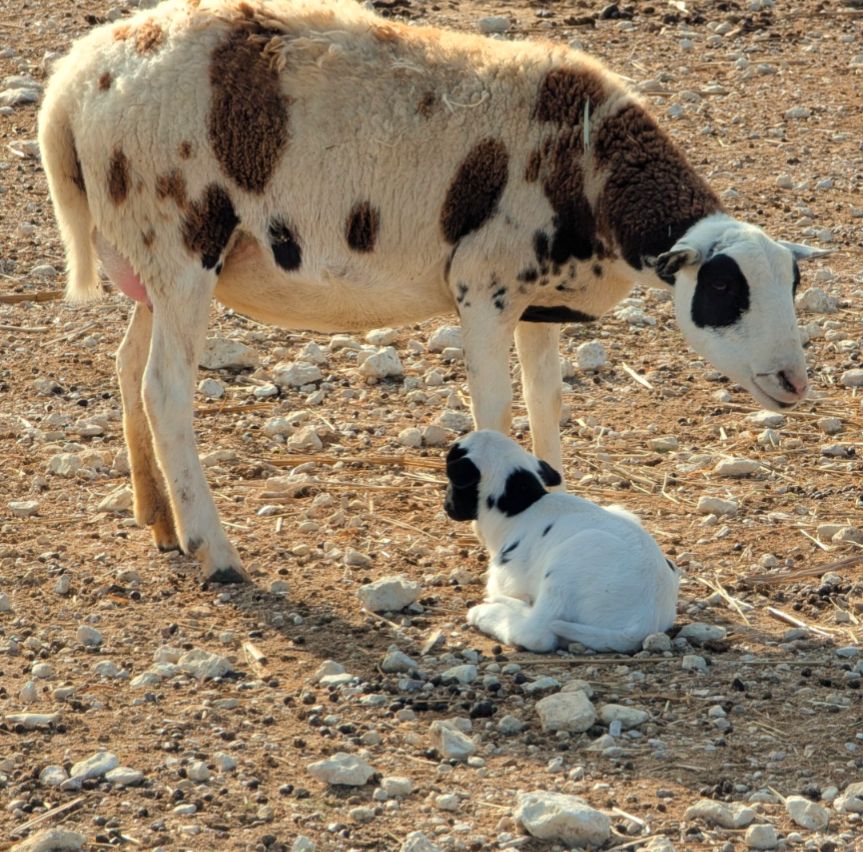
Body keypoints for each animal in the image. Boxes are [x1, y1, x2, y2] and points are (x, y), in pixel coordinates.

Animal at [39, 0, 827, 583]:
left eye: (790, 284)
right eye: (724, 287)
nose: (793, 382)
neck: (590, 163)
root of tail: (72, 83)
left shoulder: (536, 300)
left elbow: (547, 399)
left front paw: (559, 491)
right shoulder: (482, 287)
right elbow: (495, 407)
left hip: (151, 264)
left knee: (126, 369)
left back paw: (159, 518)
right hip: (181, 242)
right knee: (165, 390)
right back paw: (214, 551)